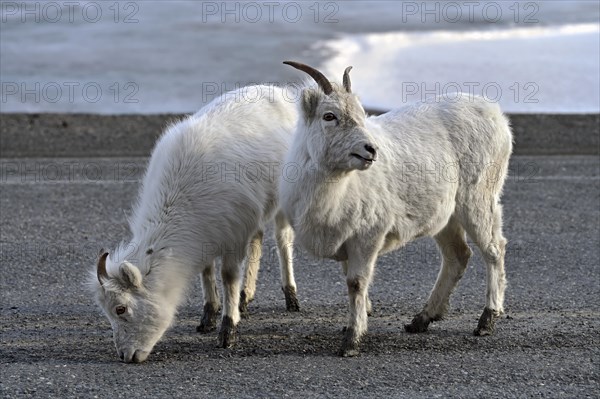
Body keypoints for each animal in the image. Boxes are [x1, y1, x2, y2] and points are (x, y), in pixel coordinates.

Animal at [89, 86, 300, 364]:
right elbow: (206, 271)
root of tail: (280, 91)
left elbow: (228, 277)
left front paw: (227, 331)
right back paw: (246, 298)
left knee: (283, 240)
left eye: (121, 308)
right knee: (258, 238)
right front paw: (208, 317)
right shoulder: (207, 234)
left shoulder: (233, 236)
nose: (126, 356)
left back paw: (291, 297)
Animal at [280, 61, 510, 356]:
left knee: (493, 250)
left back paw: (486, 321)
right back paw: (421, 320)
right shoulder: (346, 240)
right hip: (445, 218)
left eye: (361, 114)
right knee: (457, 255)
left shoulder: (368, 236)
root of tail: (496, 115)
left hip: (477, 201)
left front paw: (351, 342)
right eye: (329, 116)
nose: (370, 150)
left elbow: (356, 283)